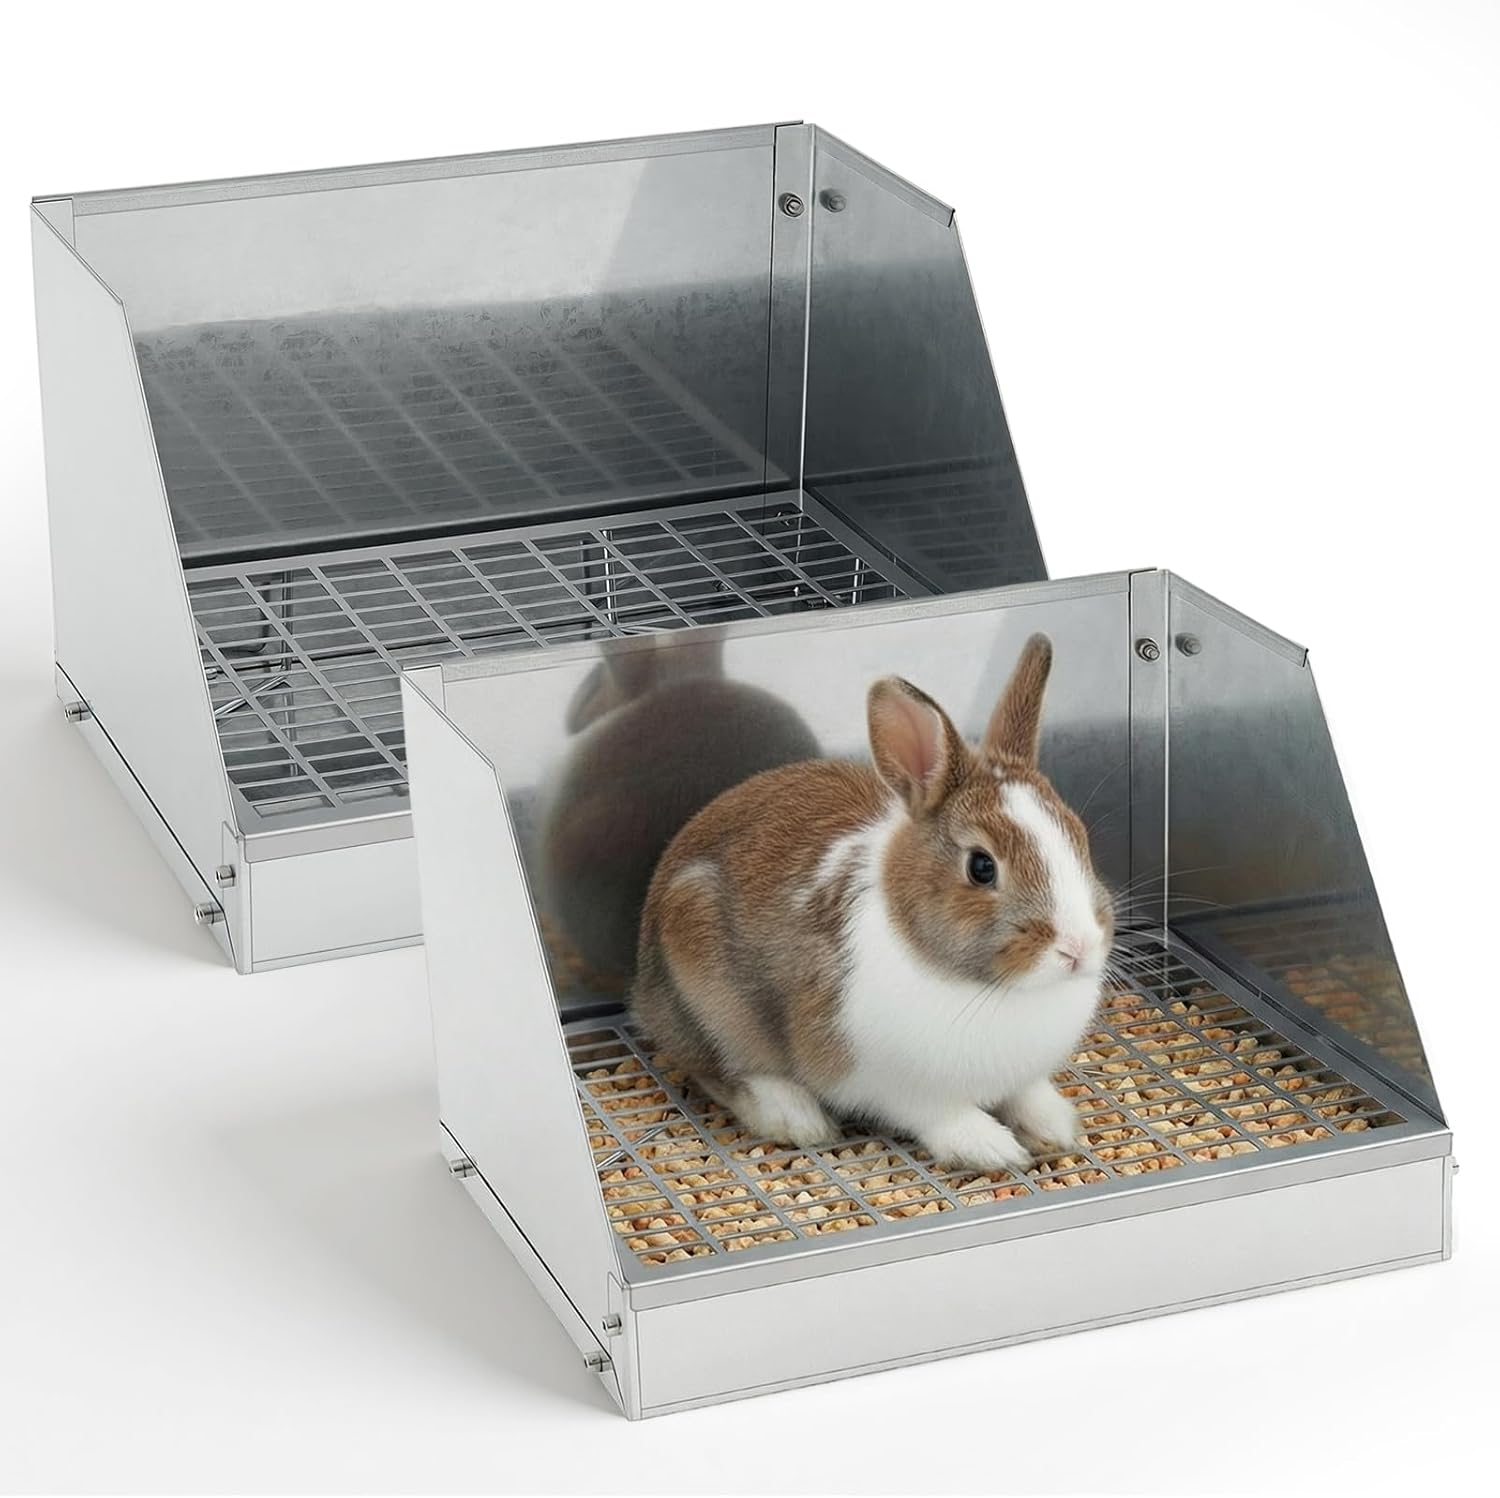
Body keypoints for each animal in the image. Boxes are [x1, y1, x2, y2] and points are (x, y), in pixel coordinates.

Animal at [631, 634, 1115, 1171]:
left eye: (1078, 836)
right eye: (981, 867)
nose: (1078, 948)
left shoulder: (1020, 1075)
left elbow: (1027, 1094)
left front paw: (1056, 1128)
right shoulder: (890, 1083)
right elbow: (941, 1114)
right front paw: (992, 1148)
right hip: (708, 988)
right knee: (720, 1070)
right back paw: (797, 1118)